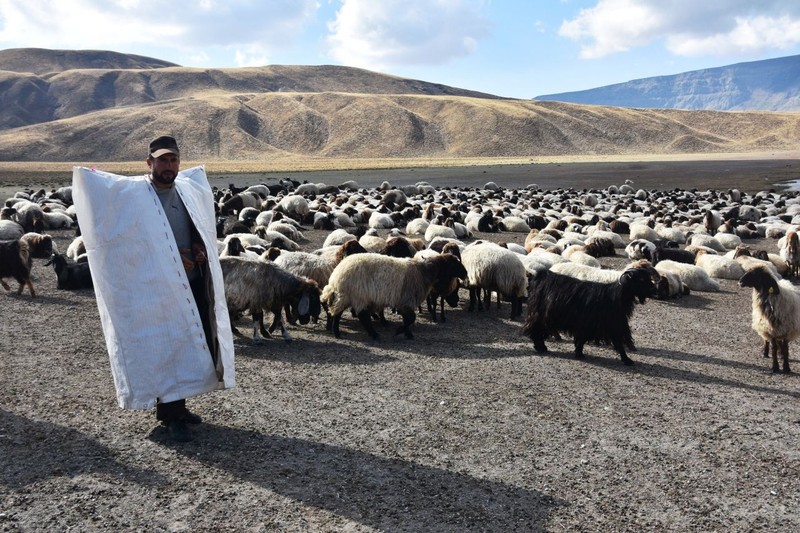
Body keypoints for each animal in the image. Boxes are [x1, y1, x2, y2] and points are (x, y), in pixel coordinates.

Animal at [320, 251, 468, 338]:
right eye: (454, 264)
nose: (465, 273)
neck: (423, 272)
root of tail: (336, 276)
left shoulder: (404, 301)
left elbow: (407, 318)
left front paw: (407, 333)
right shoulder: (407, 299)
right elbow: (411, 318)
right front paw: (401, 331)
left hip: (348, 295)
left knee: (338, 312)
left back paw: (338, 332)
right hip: (357, 294)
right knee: (360, 315)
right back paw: (372, 335)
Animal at [524, 262, 656, 366]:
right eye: (641, 279)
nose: (654, 290)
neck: (614, 297)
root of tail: (540, 276)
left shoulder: (612, 324)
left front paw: (579, 353)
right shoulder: (601, 324)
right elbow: (615, 342)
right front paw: (627, 360)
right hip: (539, 314)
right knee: (535, 329)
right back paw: (540, 347)